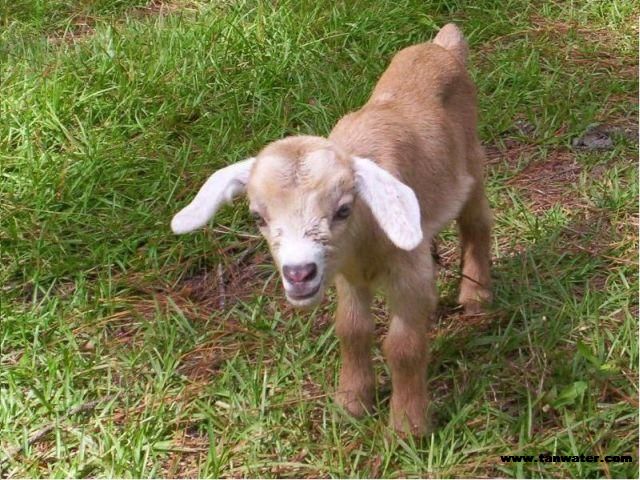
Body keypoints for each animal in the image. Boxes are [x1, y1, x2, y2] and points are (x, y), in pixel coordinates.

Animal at [170, 23, 490, 436]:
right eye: (257, 217)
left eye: (343, 209)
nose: (299, 273)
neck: (365, 240)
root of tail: (441, 45)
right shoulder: (345, 274)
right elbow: (352, 331)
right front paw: (351, 404)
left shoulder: (407, 275)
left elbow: (403, 347)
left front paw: (407, 428)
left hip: (473, 162)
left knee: (477, 223)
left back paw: (476, 296)